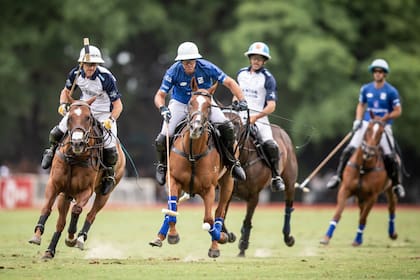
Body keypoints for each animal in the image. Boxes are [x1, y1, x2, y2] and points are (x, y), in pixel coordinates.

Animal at [28, 97, 125, 260]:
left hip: (105, 193)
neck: (75, 157)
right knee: (60, 222)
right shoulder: (54, 185)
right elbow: (47, 207)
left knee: (91, 214)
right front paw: (37, 235)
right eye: (69, 117)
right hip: (65, 195)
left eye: (88, 118)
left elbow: (77, 209)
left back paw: (80, 238)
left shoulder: (86, 190)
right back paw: (49, 251)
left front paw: (71, 237)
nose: (77, 143)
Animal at [148, 79, 233, 258]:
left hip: (228, 181)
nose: (196, 128)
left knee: (219, 213)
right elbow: (172, 209)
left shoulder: (209, 188)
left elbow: (208, 219)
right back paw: (159, 237)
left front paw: (219, 241)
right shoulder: (173, 180)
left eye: (209, 106)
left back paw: (218, 241)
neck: (193, 153)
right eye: (190, 102)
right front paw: (172, 236)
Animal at [221, 110, 296, 258]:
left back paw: (288, 238)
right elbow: (223, 215)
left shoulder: (254, 195)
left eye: (237, 123)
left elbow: (247, 220)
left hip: (290, 180)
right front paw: (230, 236)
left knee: (288, 206)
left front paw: (242, 247)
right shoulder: (229, 192)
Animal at [320, 115, 398, 246]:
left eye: (381, 133)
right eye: (368, 130)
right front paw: (326, 238)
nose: (369, 151)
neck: (363, 167)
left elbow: (363, 218)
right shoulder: (345, 190)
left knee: (391, 206)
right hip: (361, 196)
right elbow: (338, 213)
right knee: (362, 209)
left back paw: (392, 234)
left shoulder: (373, 196)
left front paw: (357, 240)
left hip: (389, 189)